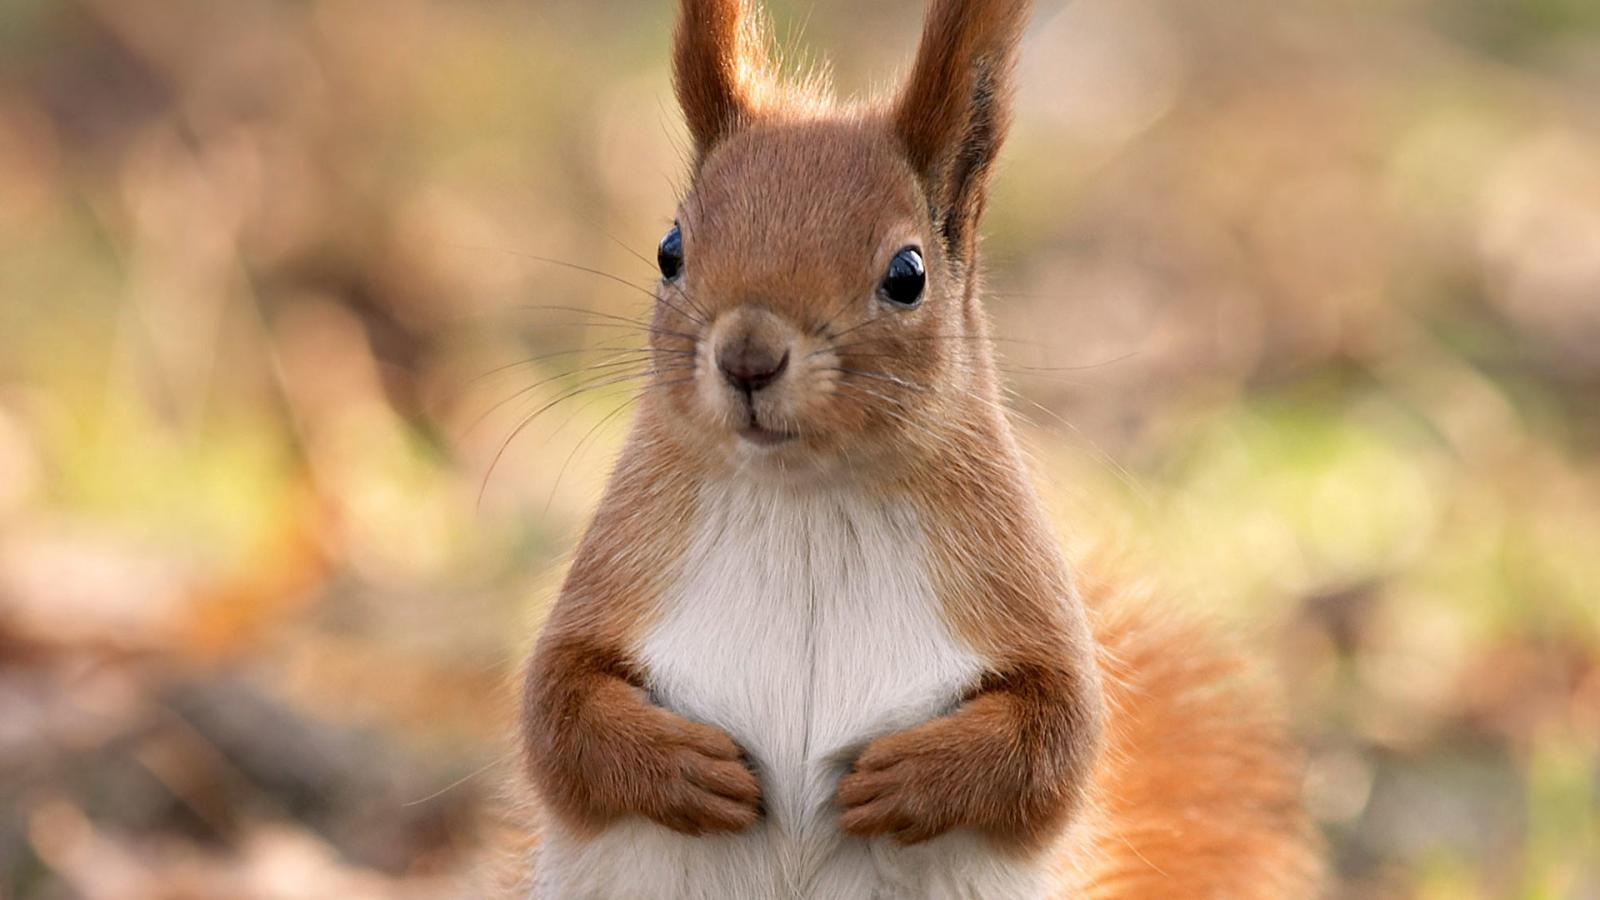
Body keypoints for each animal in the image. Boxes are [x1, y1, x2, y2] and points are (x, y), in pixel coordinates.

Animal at [496, 0, 1323, 896]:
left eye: (907, 274)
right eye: (669, 251)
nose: (748, 356)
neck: (806, 499)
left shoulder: (1016, 584)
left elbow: (1059, 734)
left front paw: (904, 781)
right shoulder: (622, 564)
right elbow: (555, 710)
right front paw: (690, 767)